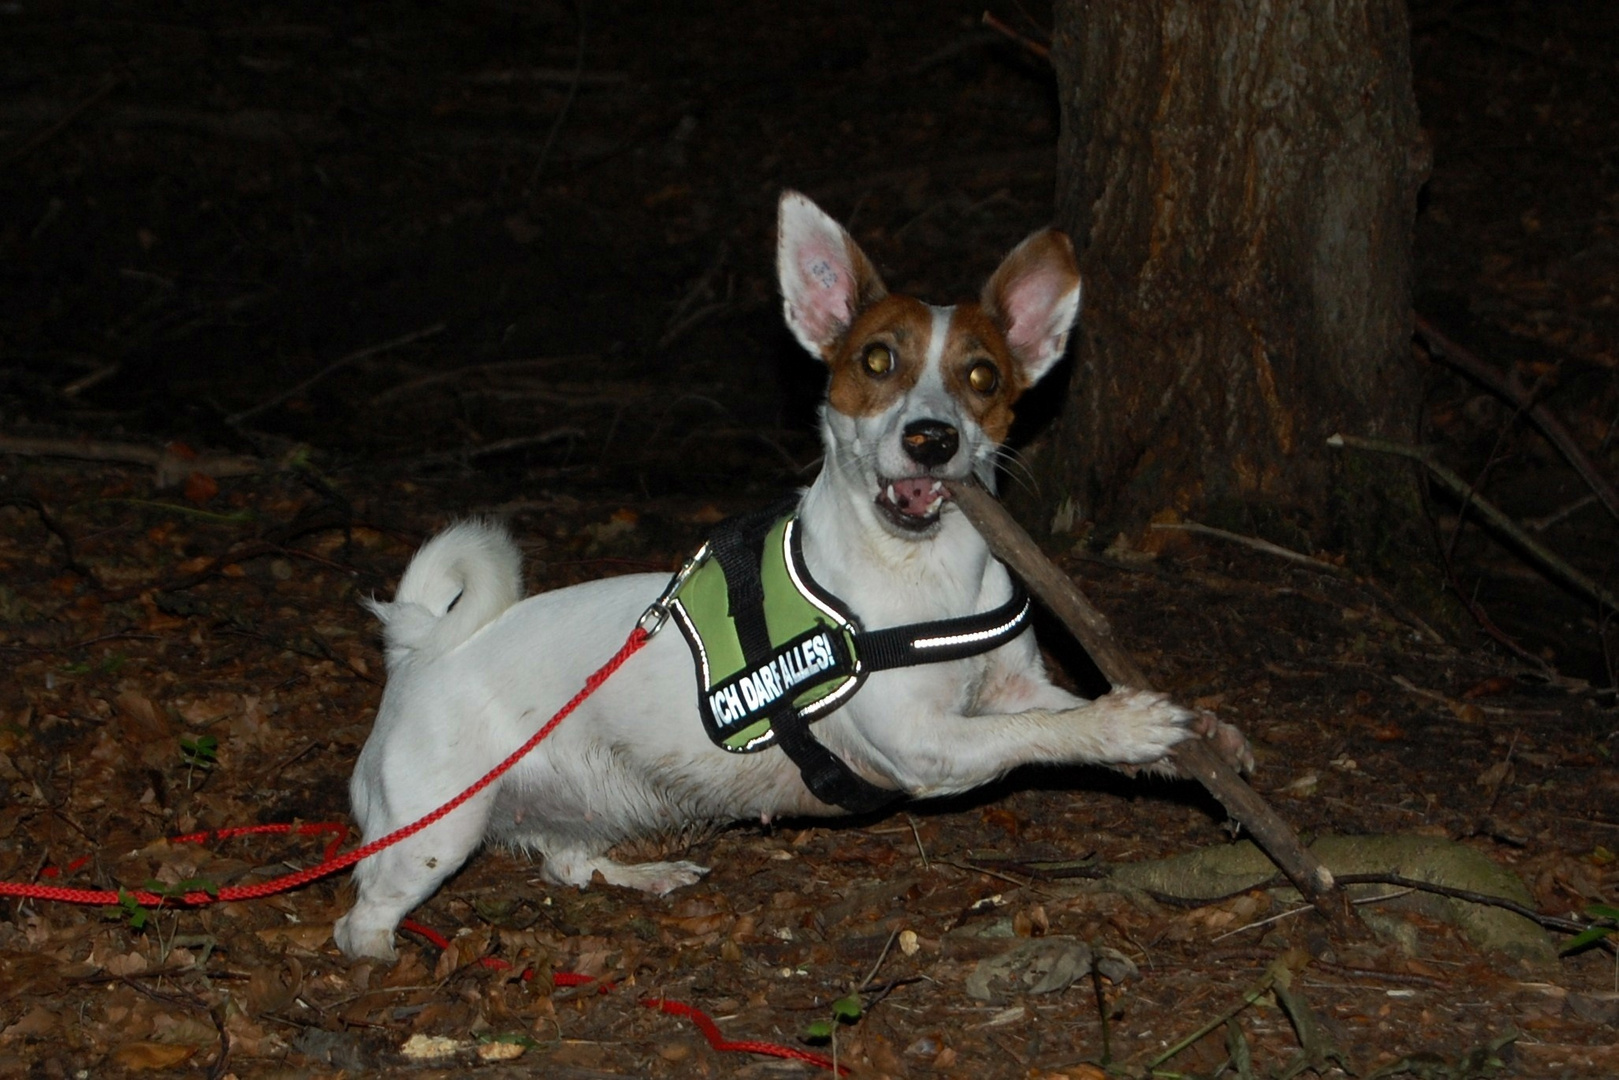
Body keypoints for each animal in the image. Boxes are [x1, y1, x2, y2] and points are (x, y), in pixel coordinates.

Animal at [331, 194, 1249, 965]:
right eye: (876, 361)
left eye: (982, 376)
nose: (931, 439)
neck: (922, 574)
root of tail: (420, 652)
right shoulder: (926, 744)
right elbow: (1041, 737)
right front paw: (1122, 728)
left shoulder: (1008, 688)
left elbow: (1060, 710)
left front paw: (1188, 735)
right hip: (435, 832)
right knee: (361, 910)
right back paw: (381, 955)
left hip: (581, 800)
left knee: (563, 860)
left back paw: (640, 875)